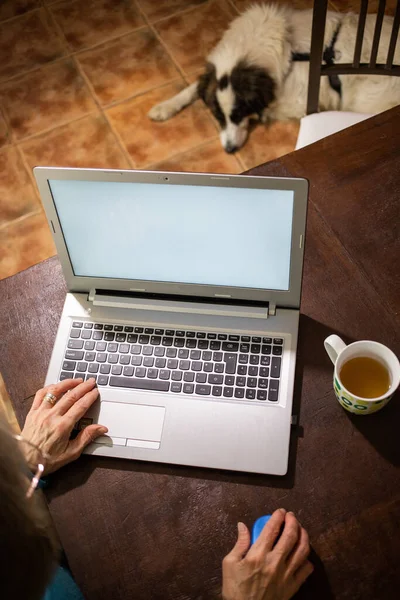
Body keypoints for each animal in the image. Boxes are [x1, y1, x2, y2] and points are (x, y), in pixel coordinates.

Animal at [148, 3, 400, 152]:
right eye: (217, 116)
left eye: (238, 114)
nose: (229, 150)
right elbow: (194, 86)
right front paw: (165, 106)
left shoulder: (301, 100)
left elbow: (266, 109)